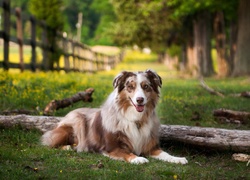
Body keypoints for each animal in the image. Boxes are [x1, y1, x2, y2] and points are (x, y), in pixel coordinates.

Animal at [41, 69, 188, 165]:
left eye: (146, 86)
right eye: (130, 87)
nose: (140, 100)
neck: (136, 119)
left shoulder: (150, 147)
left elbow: (165, 154)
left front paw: (178, 159)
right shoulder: (111, 147)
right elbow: (126, 153)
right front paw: (137, 158)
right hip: (75, 124)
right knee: (49, 142)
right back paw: (68, 147)